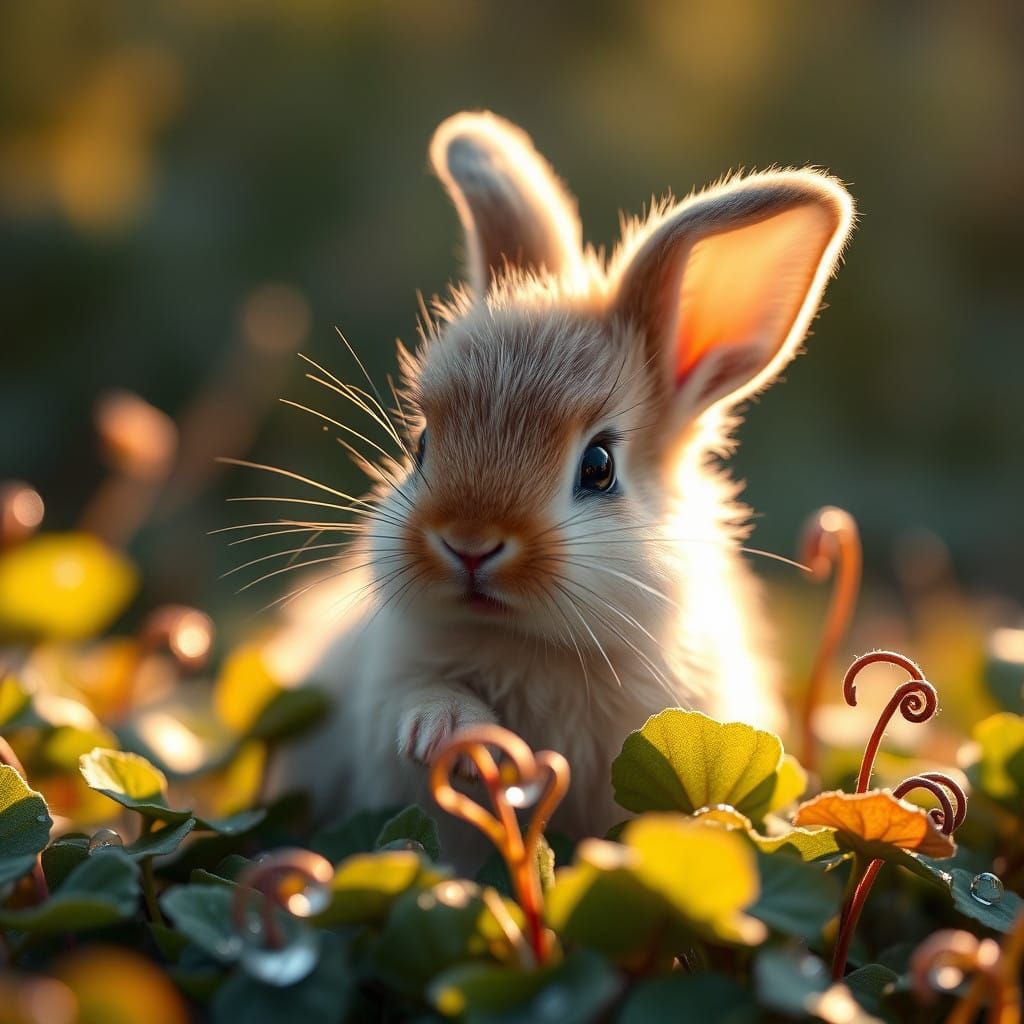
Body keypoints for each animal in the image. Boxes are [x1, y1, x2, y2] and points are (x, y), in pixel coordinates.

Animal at [261, 111, 855, 857]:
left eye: (599, 466)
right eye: (422, 446)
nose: (470, 543)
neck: (529, 641)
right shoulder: (392, 679)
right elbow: (420, 698)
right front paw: (452, 735)